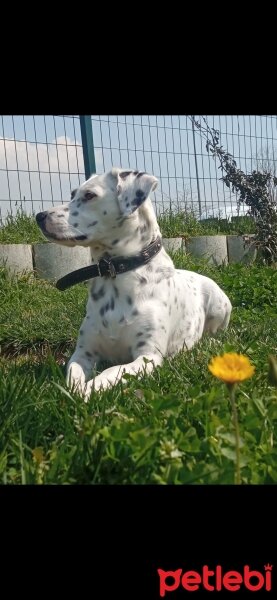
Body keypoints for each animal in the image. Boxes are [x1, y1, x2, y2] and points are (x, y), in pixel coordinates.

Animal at [35, 166, 232, 398]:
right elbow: (73, 373)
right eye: (73, 194)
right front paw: (75, 390)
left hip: (220, 304)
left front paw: (89, 389)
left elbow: (112, 371)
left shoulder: (147, 356)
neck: (115, 275)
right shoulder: (83, 353)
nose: (39, 216)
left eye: (89, 195)